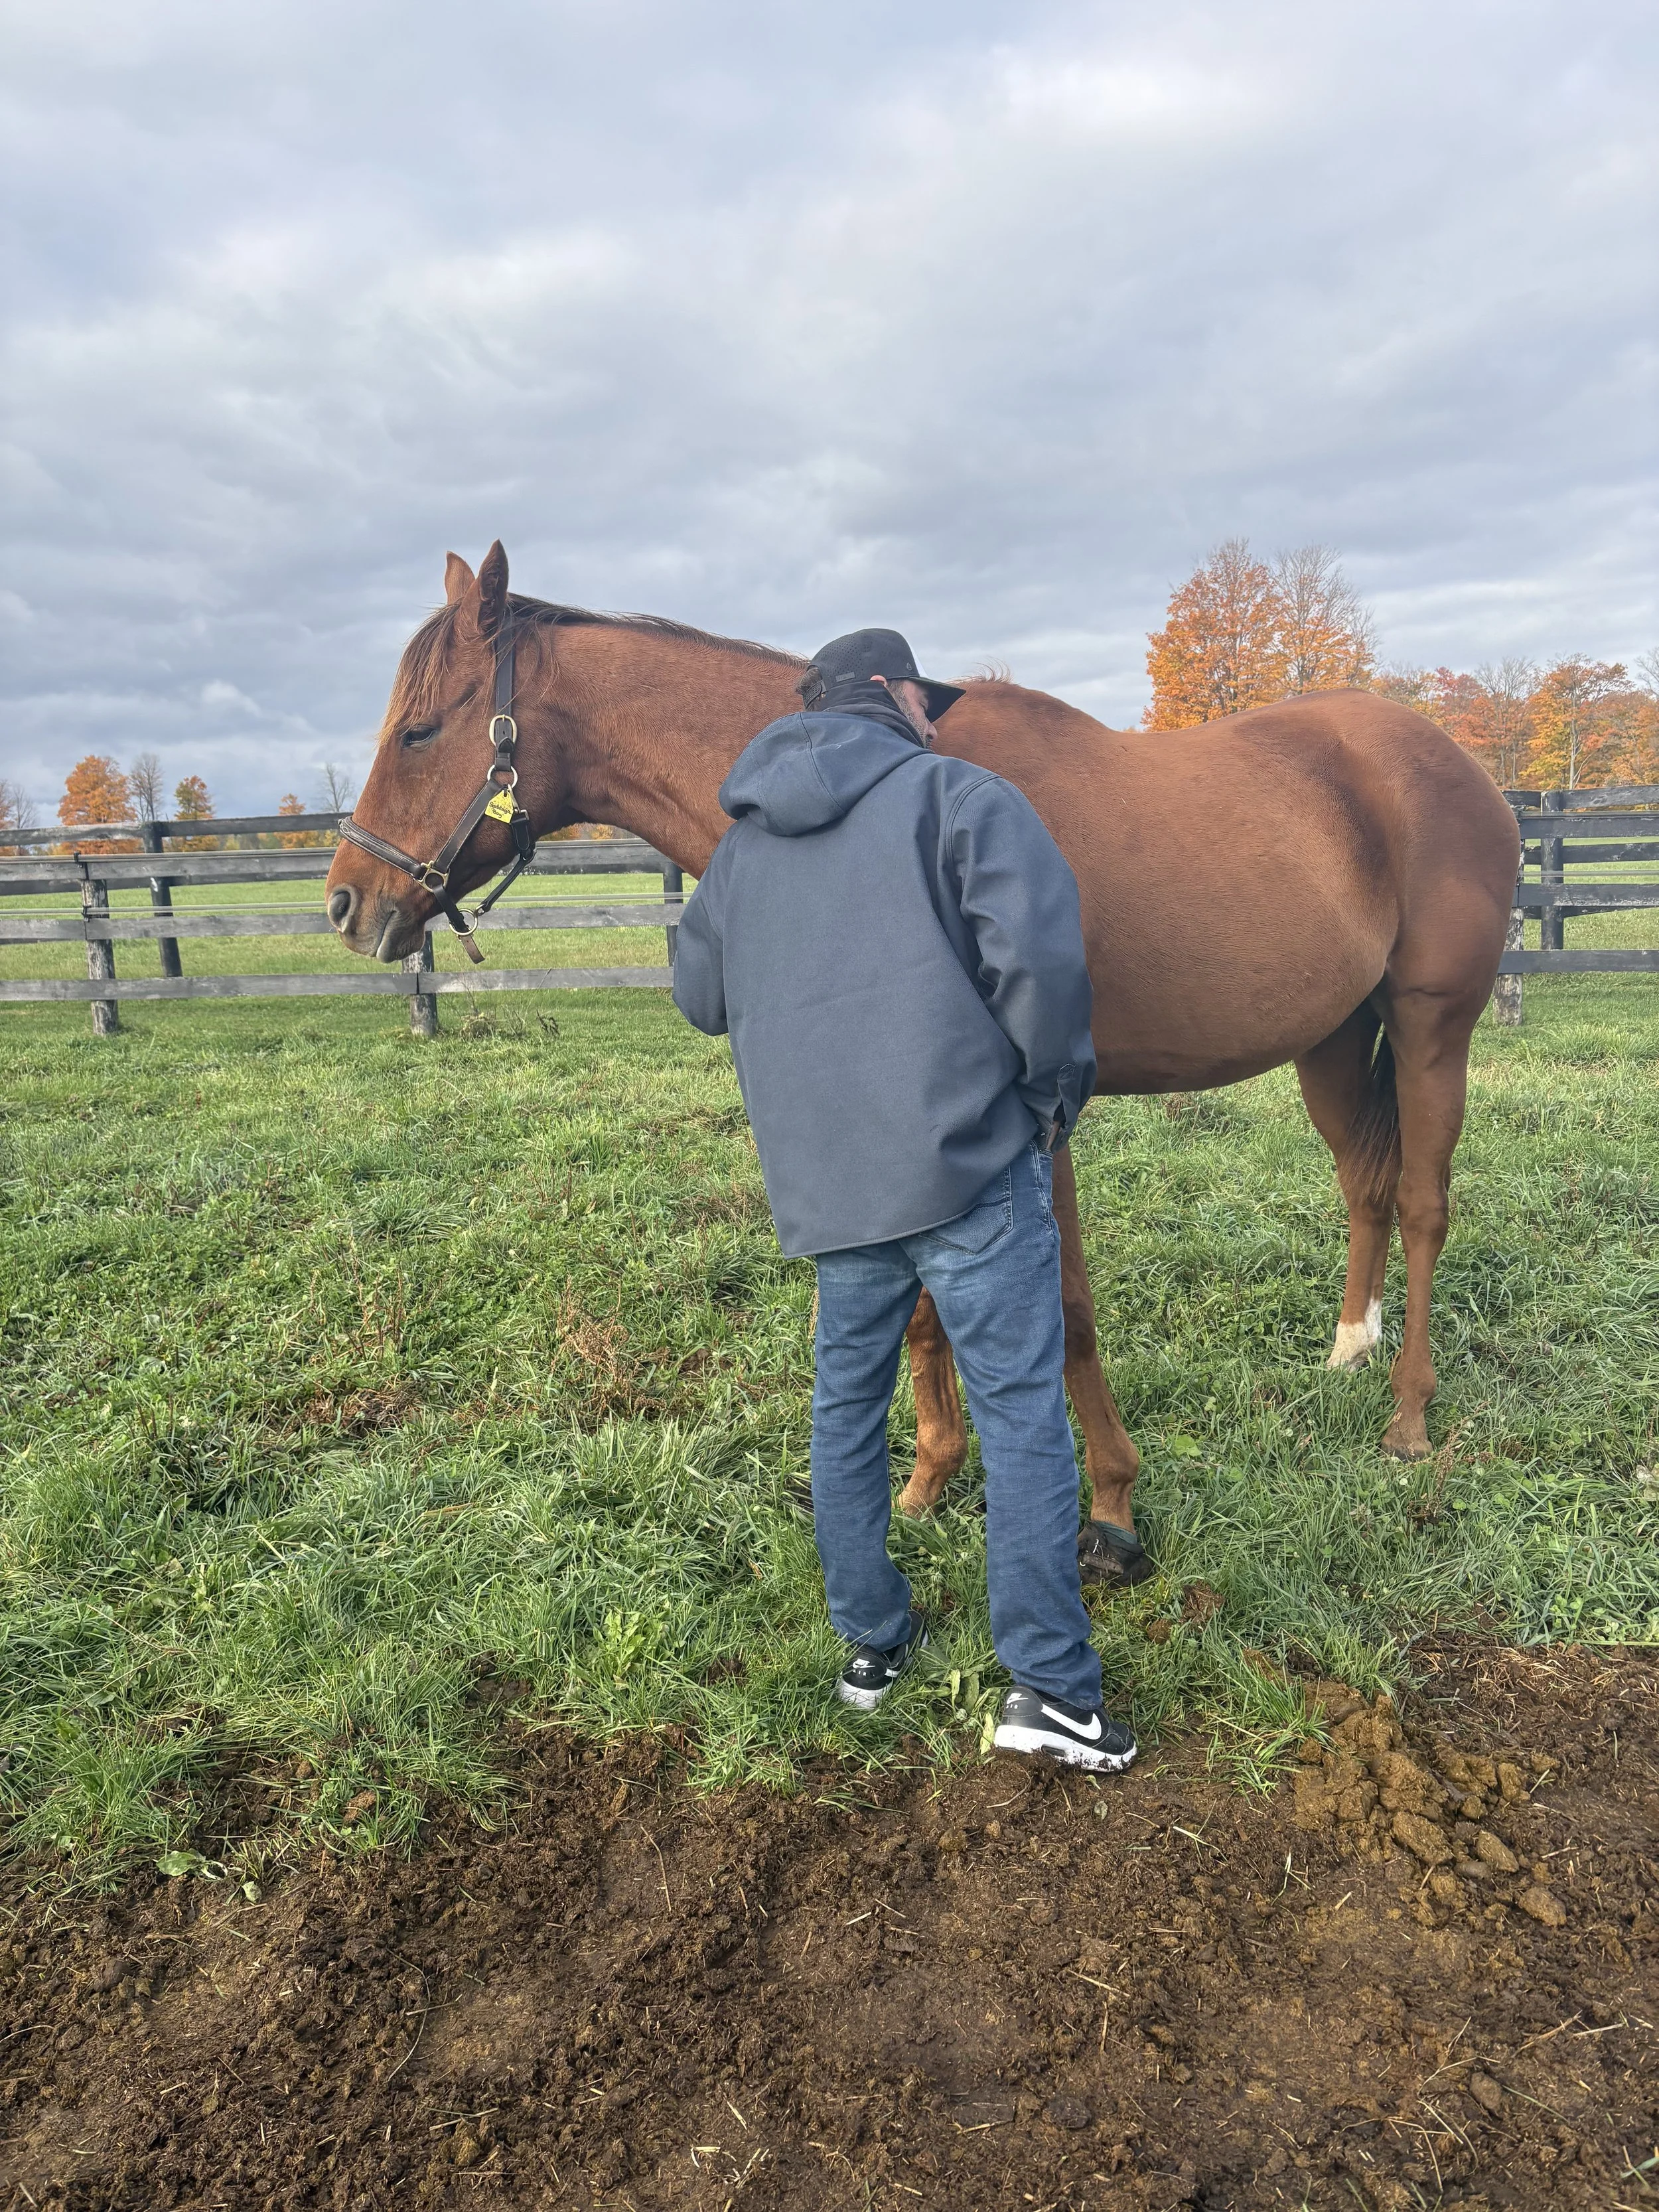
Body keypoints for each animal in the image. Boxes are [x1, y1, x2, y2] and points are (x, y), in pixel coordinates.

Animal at [326, 543, 1520, 1580]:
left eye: (420, 730)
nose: (349, 901)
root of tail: (1454, 763)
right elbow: (919, 1305)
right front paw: (931, 1479)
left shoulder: (1040, 1117)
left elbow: (1067, 1308)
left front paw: (1111, 1503)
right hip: (1332, 1040)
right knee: (1364, 1186)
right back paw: (1348, 1350)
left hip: (1431, 1028)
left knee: (1422, 1202)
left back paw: (1407, 1416)